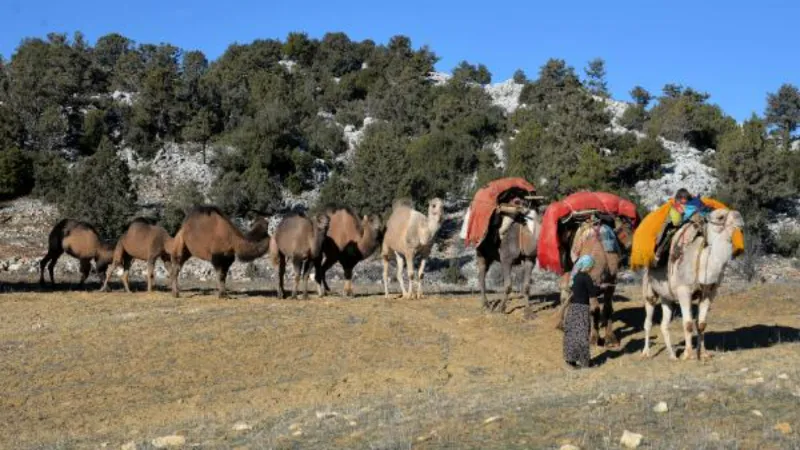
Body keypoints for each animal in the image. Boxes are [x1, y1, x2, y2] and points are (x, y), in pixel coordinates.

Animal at [640, 209, 748, 360]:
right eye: (720, 217)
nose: (740, 219)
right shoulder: (684, 291)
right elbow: (688, 324)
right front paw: (688, 355)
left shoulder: (709, 292)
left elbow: (701, 324)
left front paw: (703, 353)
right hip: (649, 290)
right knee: (648, 322)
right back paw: (646, 353)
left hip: (666, 297)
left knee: (664, 324)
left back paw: (672, 356)